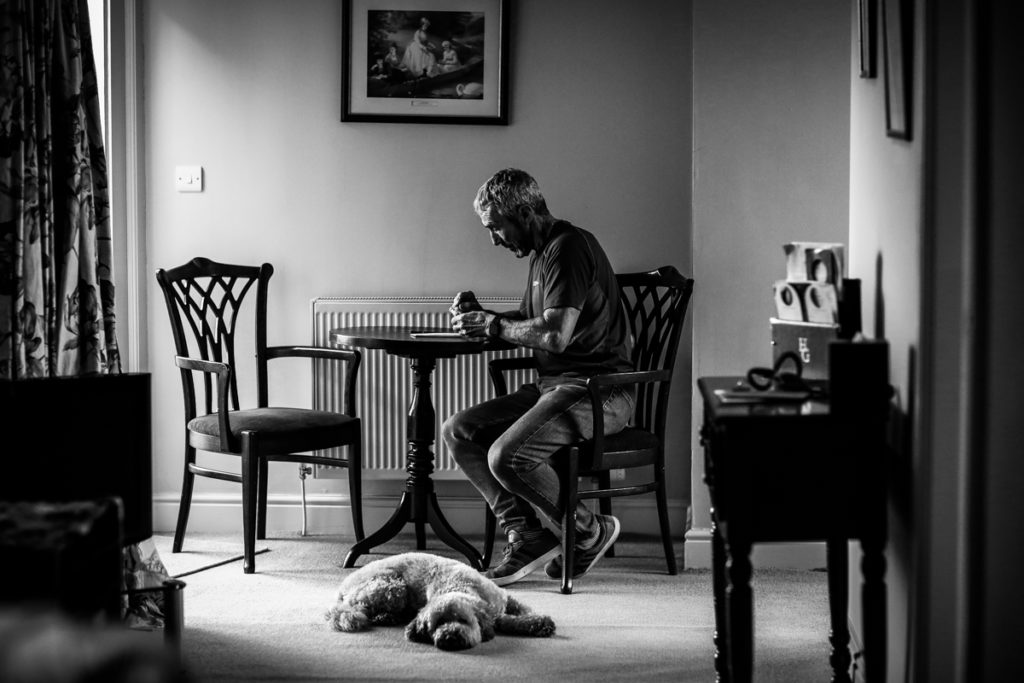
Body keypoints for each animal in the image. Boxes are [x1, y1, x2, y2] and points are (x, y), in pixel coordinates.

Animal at [325, 548, 552, 651]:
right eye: (435, 626)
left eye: (463, 620)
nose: (448, 637)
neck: (463, 586)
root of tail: (343, 587)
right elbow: (506, 621)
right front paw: (536, 623)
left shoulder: (505, 597)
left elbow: (522, 610)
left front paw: (538, 621)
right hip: (391, 587)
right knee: (364, 608)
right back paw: (386, 617)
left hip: (392, 589)